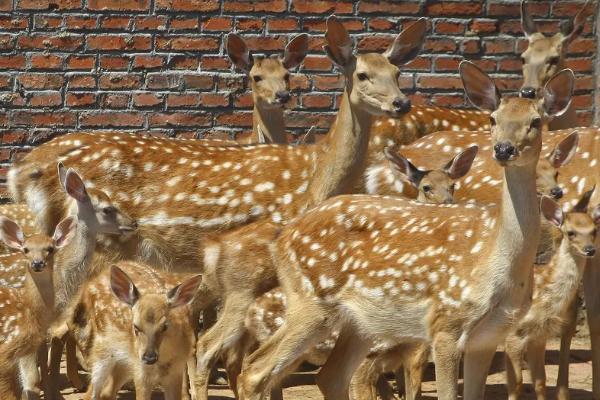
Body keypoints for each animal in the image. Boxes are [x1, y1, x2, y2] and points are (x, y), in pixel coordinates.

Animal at [237, 61, 576, 400]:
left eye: (535, 121)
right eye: (493, 118)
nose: (503, 149)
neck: (498, 263)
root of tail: (282, 237)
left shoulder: (489, 336)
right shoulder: (445, 323)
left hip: (360, 321)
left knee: (330, 375)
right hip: (311, 301)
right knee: (255, 371)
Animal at [504, 191, 596, 400]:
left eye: (594, 231)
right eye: (571, 232)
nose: (590, 250)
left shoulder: (539, 336)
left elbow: (540, 381)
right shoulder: (513, 333)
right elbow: (516, 383)